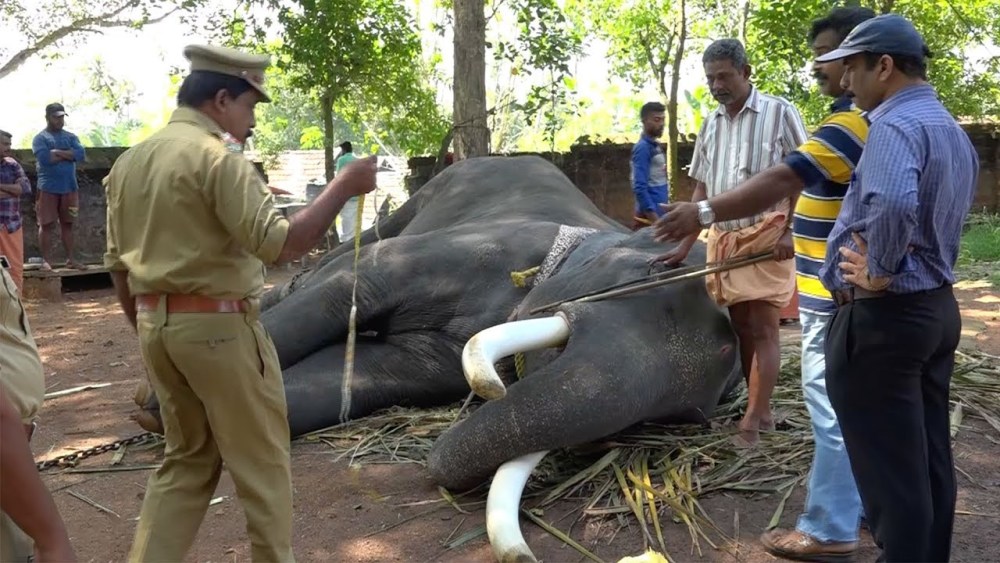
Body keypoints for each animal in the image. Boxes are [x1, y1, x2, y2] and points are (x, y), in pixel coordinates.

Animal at [129, 156, 744, 563]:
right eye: (659, 270)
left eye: (685, 414)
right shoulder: (477, 252)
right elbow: (356, 285)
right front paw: (155, 407)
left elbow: (365, 377)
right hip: (432, 192)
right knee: (352, 249)